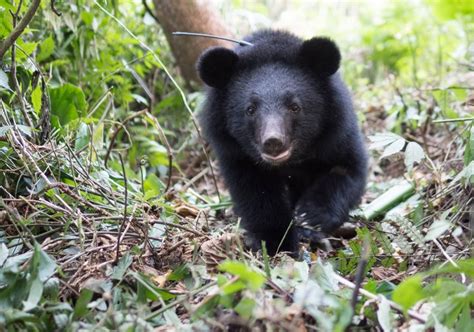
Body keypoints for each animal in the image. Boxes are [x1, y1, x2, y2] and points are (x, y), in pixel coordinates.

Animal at [195, 30, 366, 254]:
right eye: (250, 109)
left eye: (295, 107)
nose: (273, 142)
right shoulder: (235, 151)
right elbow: (255, 193)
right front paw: (277, 240)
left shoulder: (337, 134)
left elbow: (347, 169)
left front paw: (310, 218)